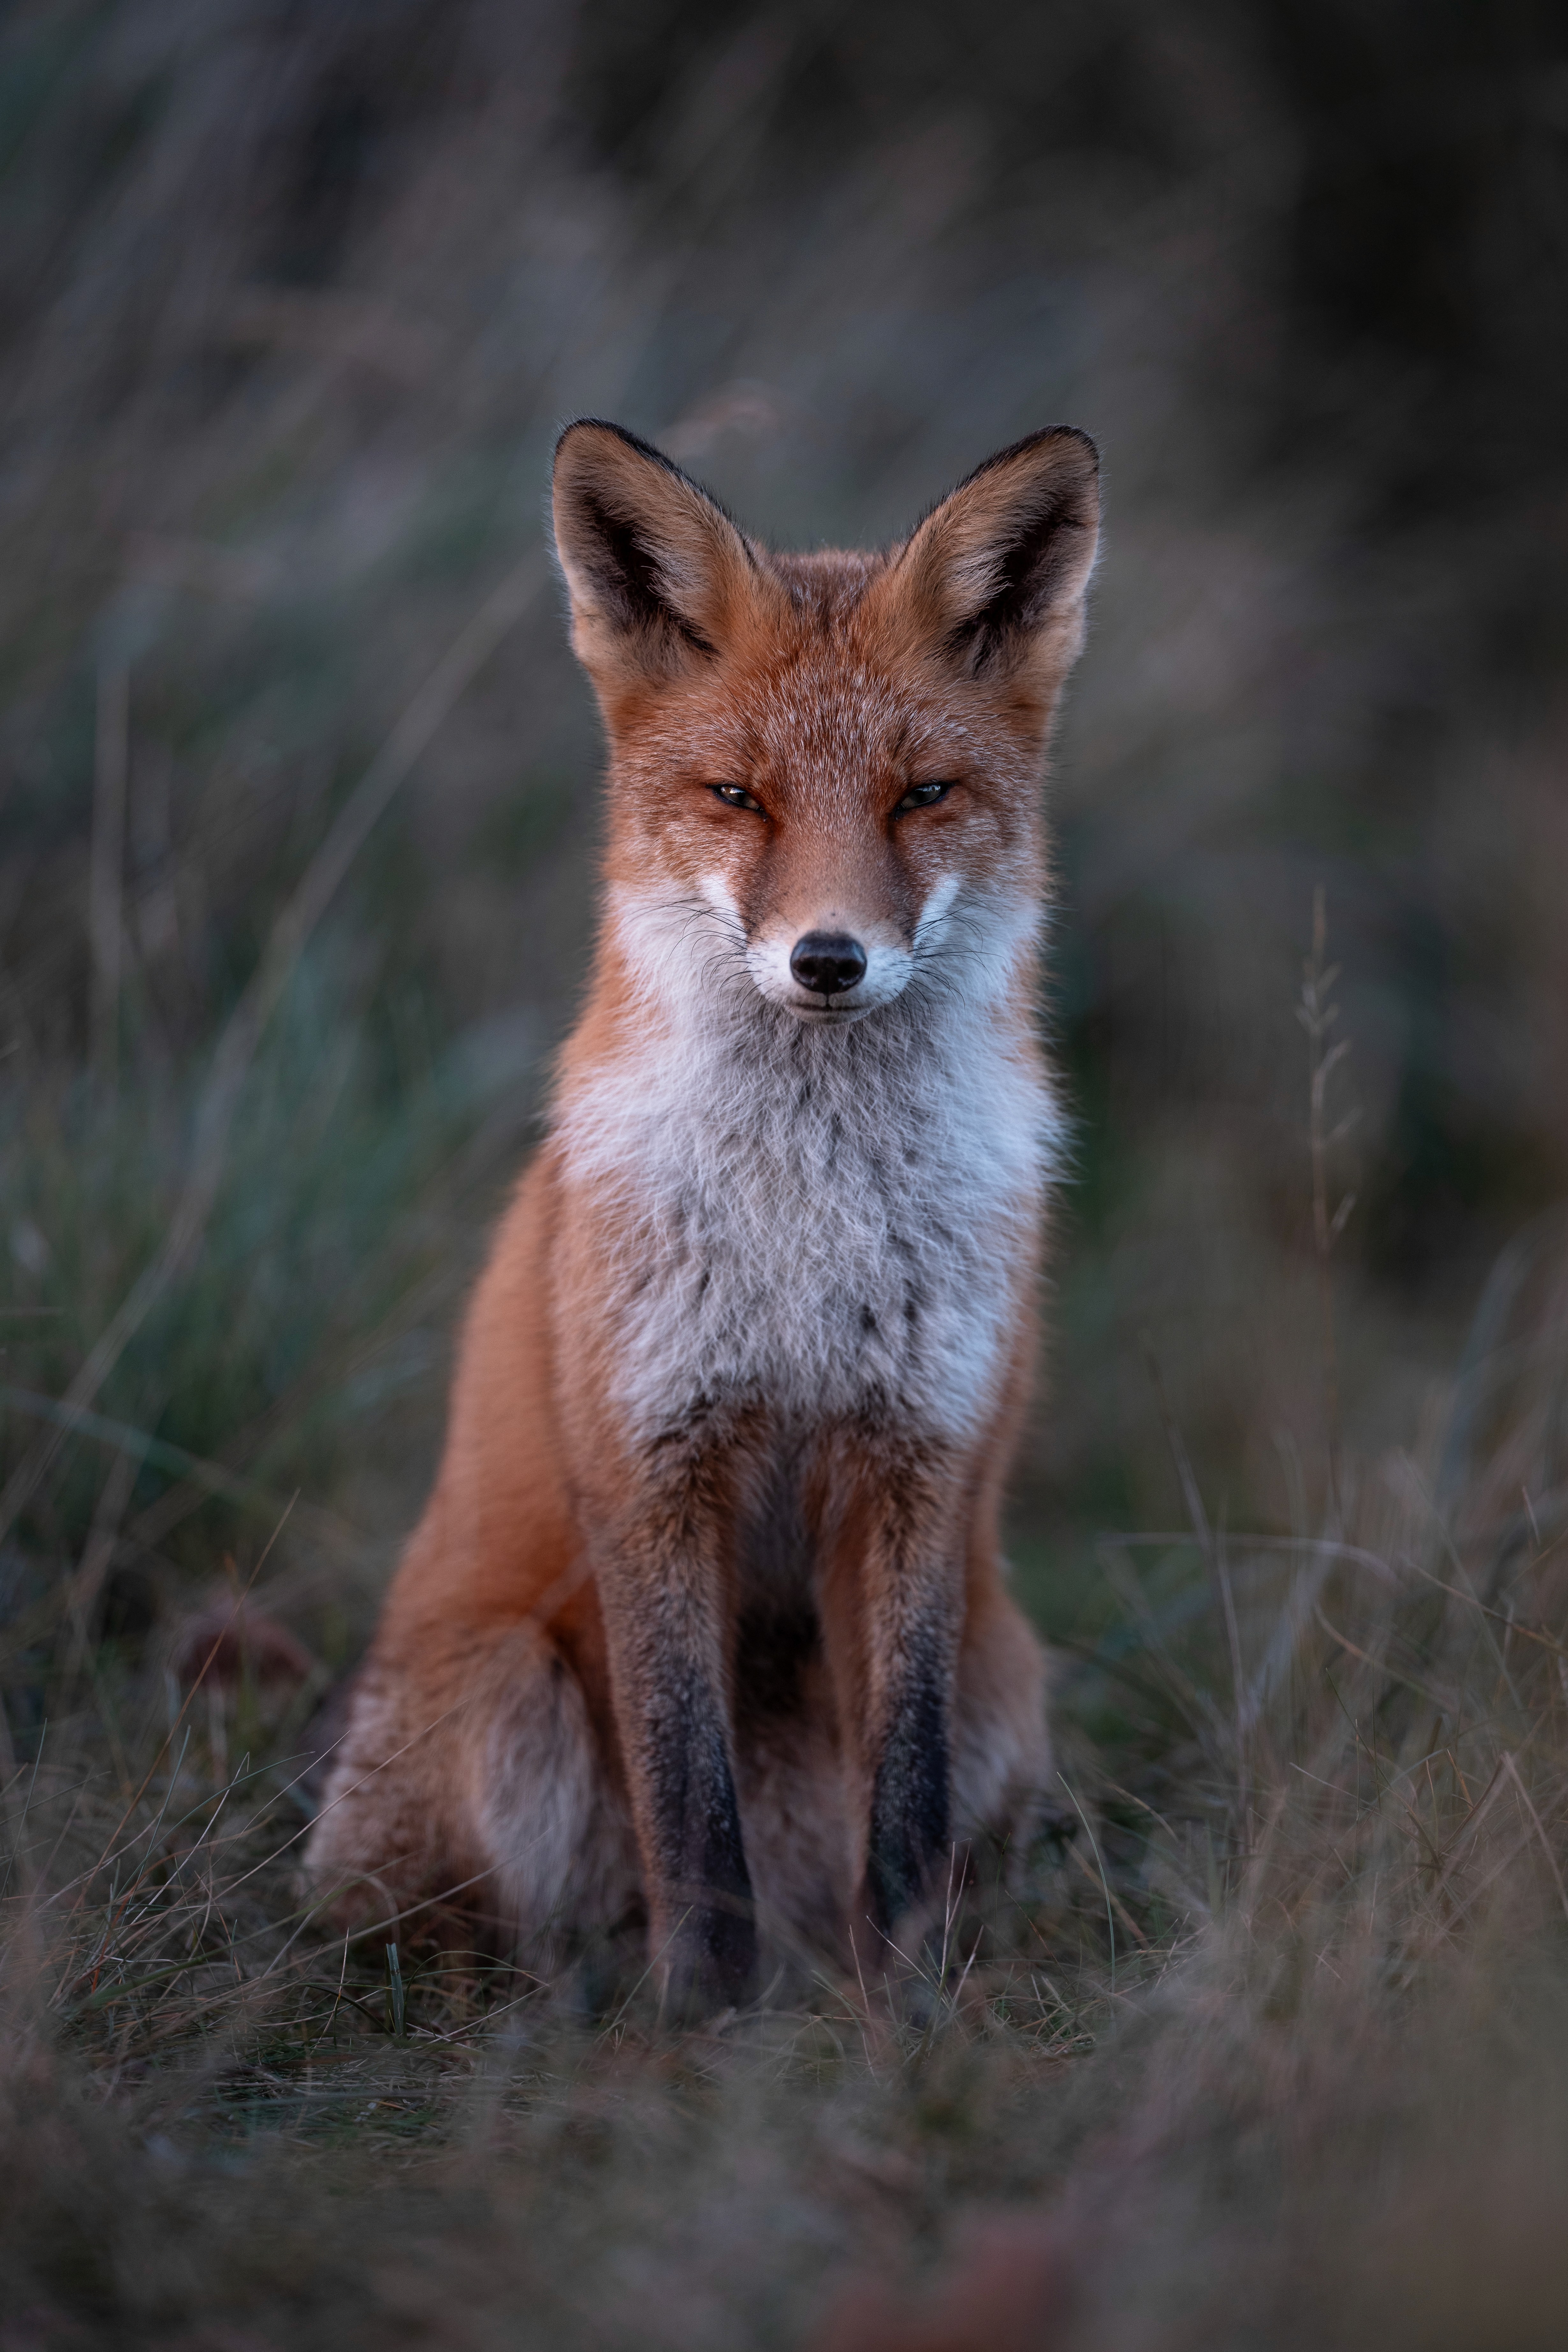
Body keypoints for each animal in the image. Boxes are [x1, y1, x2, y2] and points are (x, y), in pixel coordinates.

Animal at [304, 416, 1100, 2007]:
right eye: (740, 796)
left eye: (920, 795)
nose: (827, 957)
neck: (808, 1231)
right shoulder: (650, 1462)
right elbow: (686, 1802)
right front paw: (702, 2024)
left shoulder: (914, 1460)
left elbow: (903, 1805)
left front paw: (901, 2013)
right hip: (508, 1697)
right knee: (489, 1930)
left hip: (1005, 1676)